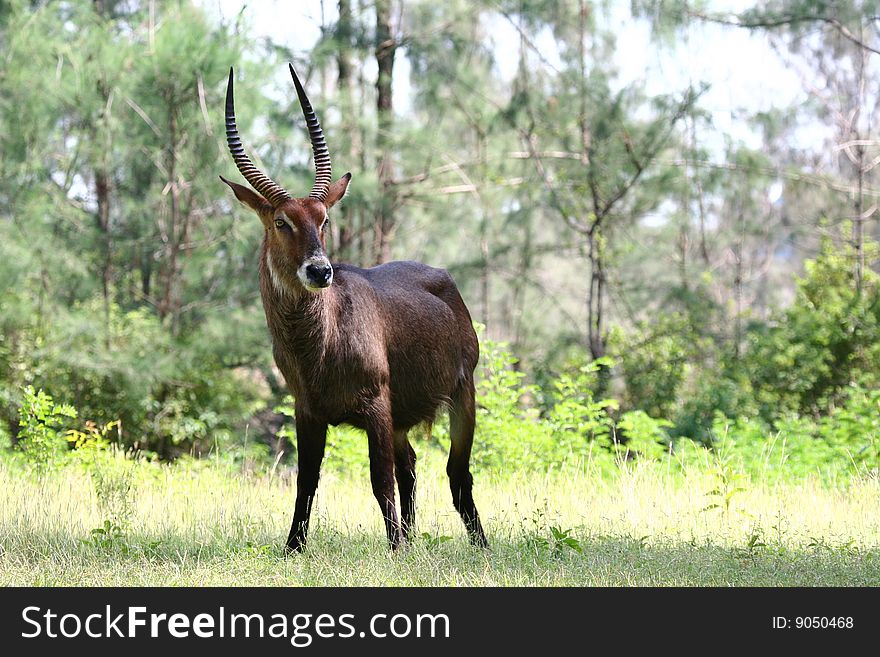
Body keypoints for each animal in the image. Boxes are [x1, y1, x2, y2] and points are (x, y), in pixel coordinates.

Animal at [220, 64, 488, 552]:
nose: (320, 270)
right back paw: (415, 540)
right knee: (411, 466)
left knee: (455, 474)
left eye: (323, 219)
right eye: (281, 221)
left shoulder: (377, 408)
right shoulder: (308, 412)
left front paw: (394, 551)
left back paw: (478, 545)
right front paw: (293, 549)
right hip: (404, 419)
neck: (319, 346)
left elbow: (379, 481)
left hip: (463, 395)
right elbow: (306, 481)